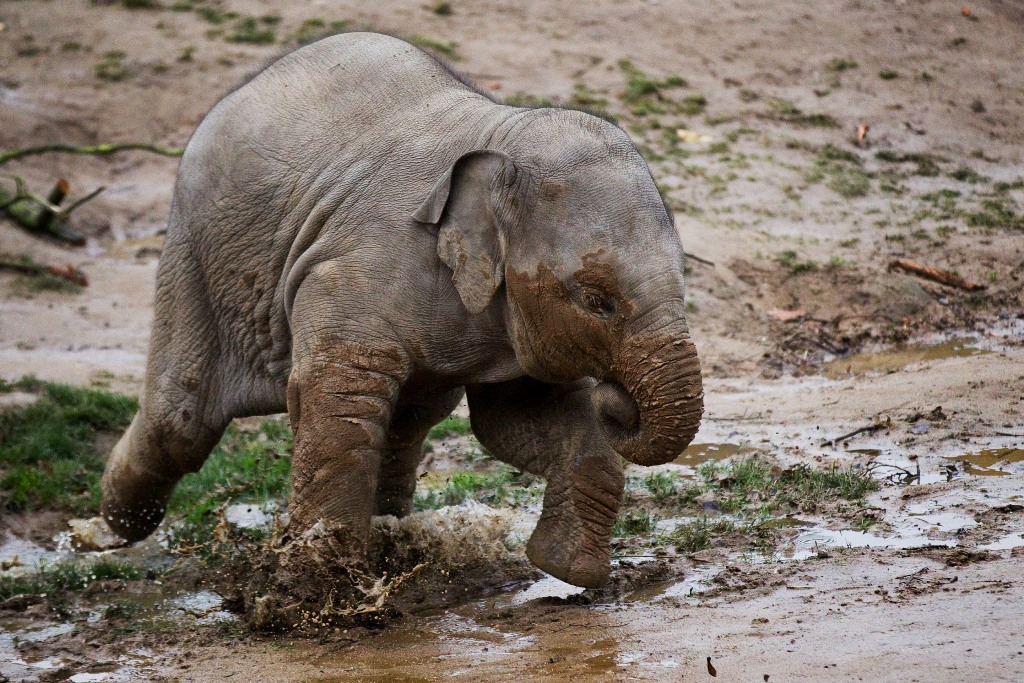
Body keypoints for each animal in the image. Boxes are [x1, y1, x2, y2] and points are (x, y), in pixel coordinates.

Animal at [103, 31, 704, 589]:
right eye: (597, 301)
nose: (616, 400)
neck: (499, 139)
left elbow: (517, 420)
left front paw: (569, 573)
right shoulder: (354, 269)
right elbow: (341, 402)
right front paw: (317, 595)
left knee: (408, 419)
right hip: (195, 253)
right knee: (181, 420)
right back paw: (116, 527)